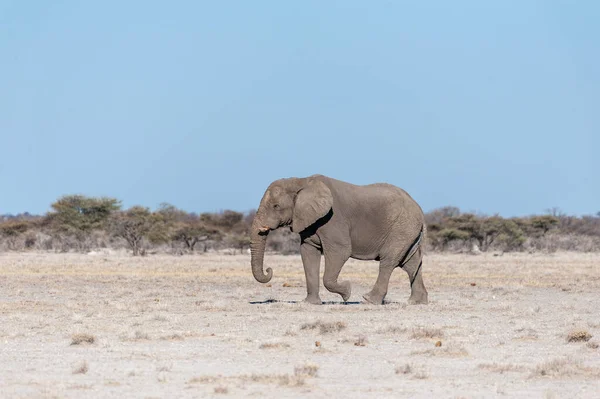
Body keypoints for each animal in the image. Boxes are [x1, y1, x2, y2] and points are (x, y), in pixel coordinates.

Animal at [248, 175, 426, 306]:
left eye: (276, 206)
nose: (269, 270)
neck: (302, 181)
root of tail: (419, 208)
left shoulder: (333, 220)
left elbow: (340, 252)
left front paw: (347, 292)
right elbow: (308, 253)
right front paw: (310, 303)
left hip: (401, 228)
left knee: (388, 262)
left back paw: (369, 300)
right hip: (407, 231)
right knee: (410, 264)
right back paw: (416, 302)